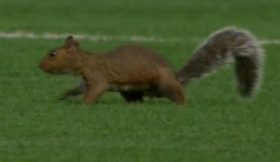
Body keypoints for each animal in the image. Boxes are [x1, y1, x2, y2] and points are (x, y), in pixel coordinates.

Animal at [38, 26, 262, 105]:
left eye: (53, 54)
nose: (40, 66)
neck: (86, 61)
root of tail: (175, 76)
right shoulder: (87, 80)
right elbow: (78, 88)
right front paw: (65, 95)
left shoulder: (98, 76)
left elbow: (94, 92)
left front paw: (82, 105)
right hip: (130, 90)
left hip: (164, 82)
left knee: (179, 94)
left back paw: (181, 103)